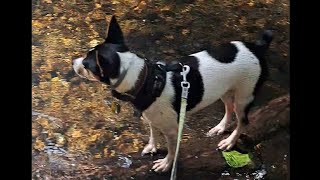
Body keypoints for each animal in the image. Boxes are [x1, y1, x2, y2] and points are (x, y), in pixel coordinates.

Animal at [72, 16, 272, 172]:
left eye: (86, 65)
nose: (73, 62)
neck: (145, 79)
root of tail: (257, 48)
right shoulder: (151, 117)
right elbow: (153, 132)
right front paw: (152, 147)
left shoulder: (172, 130)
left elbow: (171, 150)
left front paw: (166, 164)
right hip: (224, 90)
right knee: (228, 108)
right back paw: (220, 128)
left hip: (244, 97)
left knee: (242, 121)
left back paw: (230, 141)